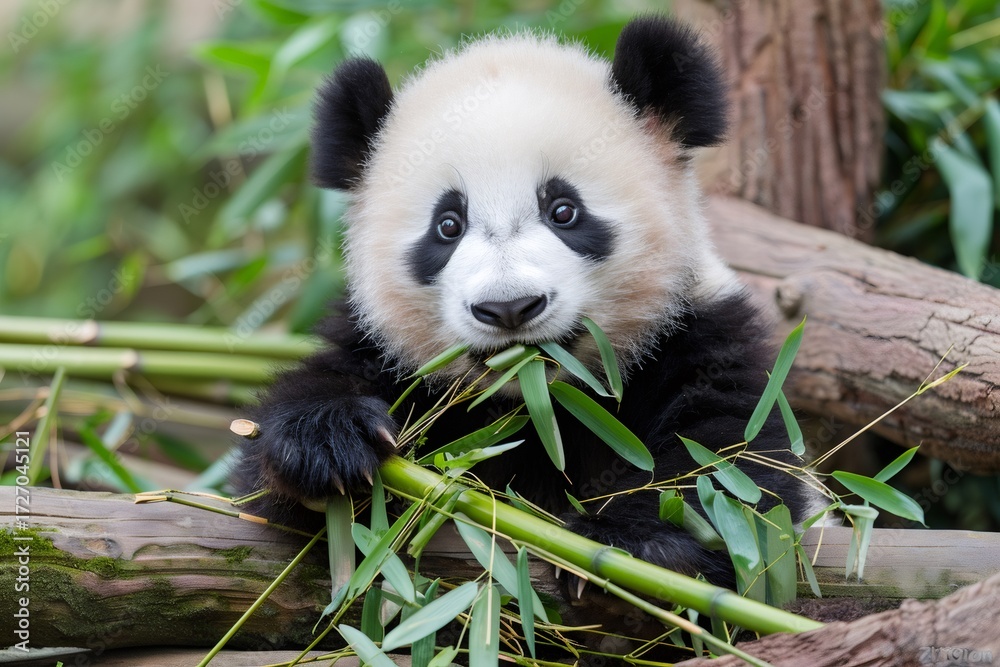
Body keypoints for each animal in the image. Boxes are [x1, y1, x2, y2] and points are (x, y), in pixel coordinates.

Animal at [235, 15, 818, 590]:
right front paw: (327, 441)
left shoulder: (700, 334)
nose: (509, 308)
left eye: (563, 210)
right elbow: (272, 503)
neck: (537, 406)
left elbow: (734, 475)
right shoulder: (384, 352)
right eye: (448, 225)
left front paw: (634, 547)